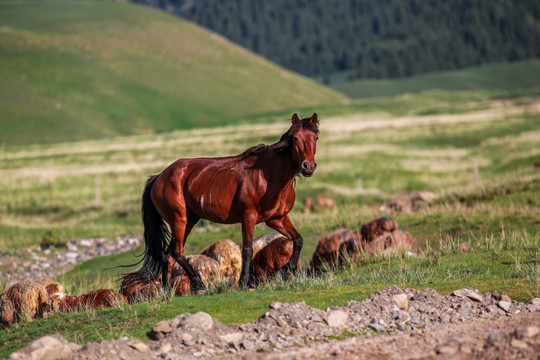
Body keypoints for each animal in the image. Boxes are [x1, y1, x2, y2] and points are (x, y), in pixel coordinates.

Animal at [124, 112, 318, 290]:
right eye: (295, 138)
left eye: (315, 137)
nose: (308, 167)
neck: (271, 175)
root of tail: (158, 177)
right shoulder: (249, 216)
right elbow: (247, 250)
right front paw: (244, 283)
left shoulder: (277, 219)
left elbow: (298, 239)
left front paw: (286, 269)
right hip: (179, 220)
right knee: (177, 252)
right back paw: (198, 283)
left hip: (189, 221)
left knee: (169, 255)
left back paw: (168, 290)